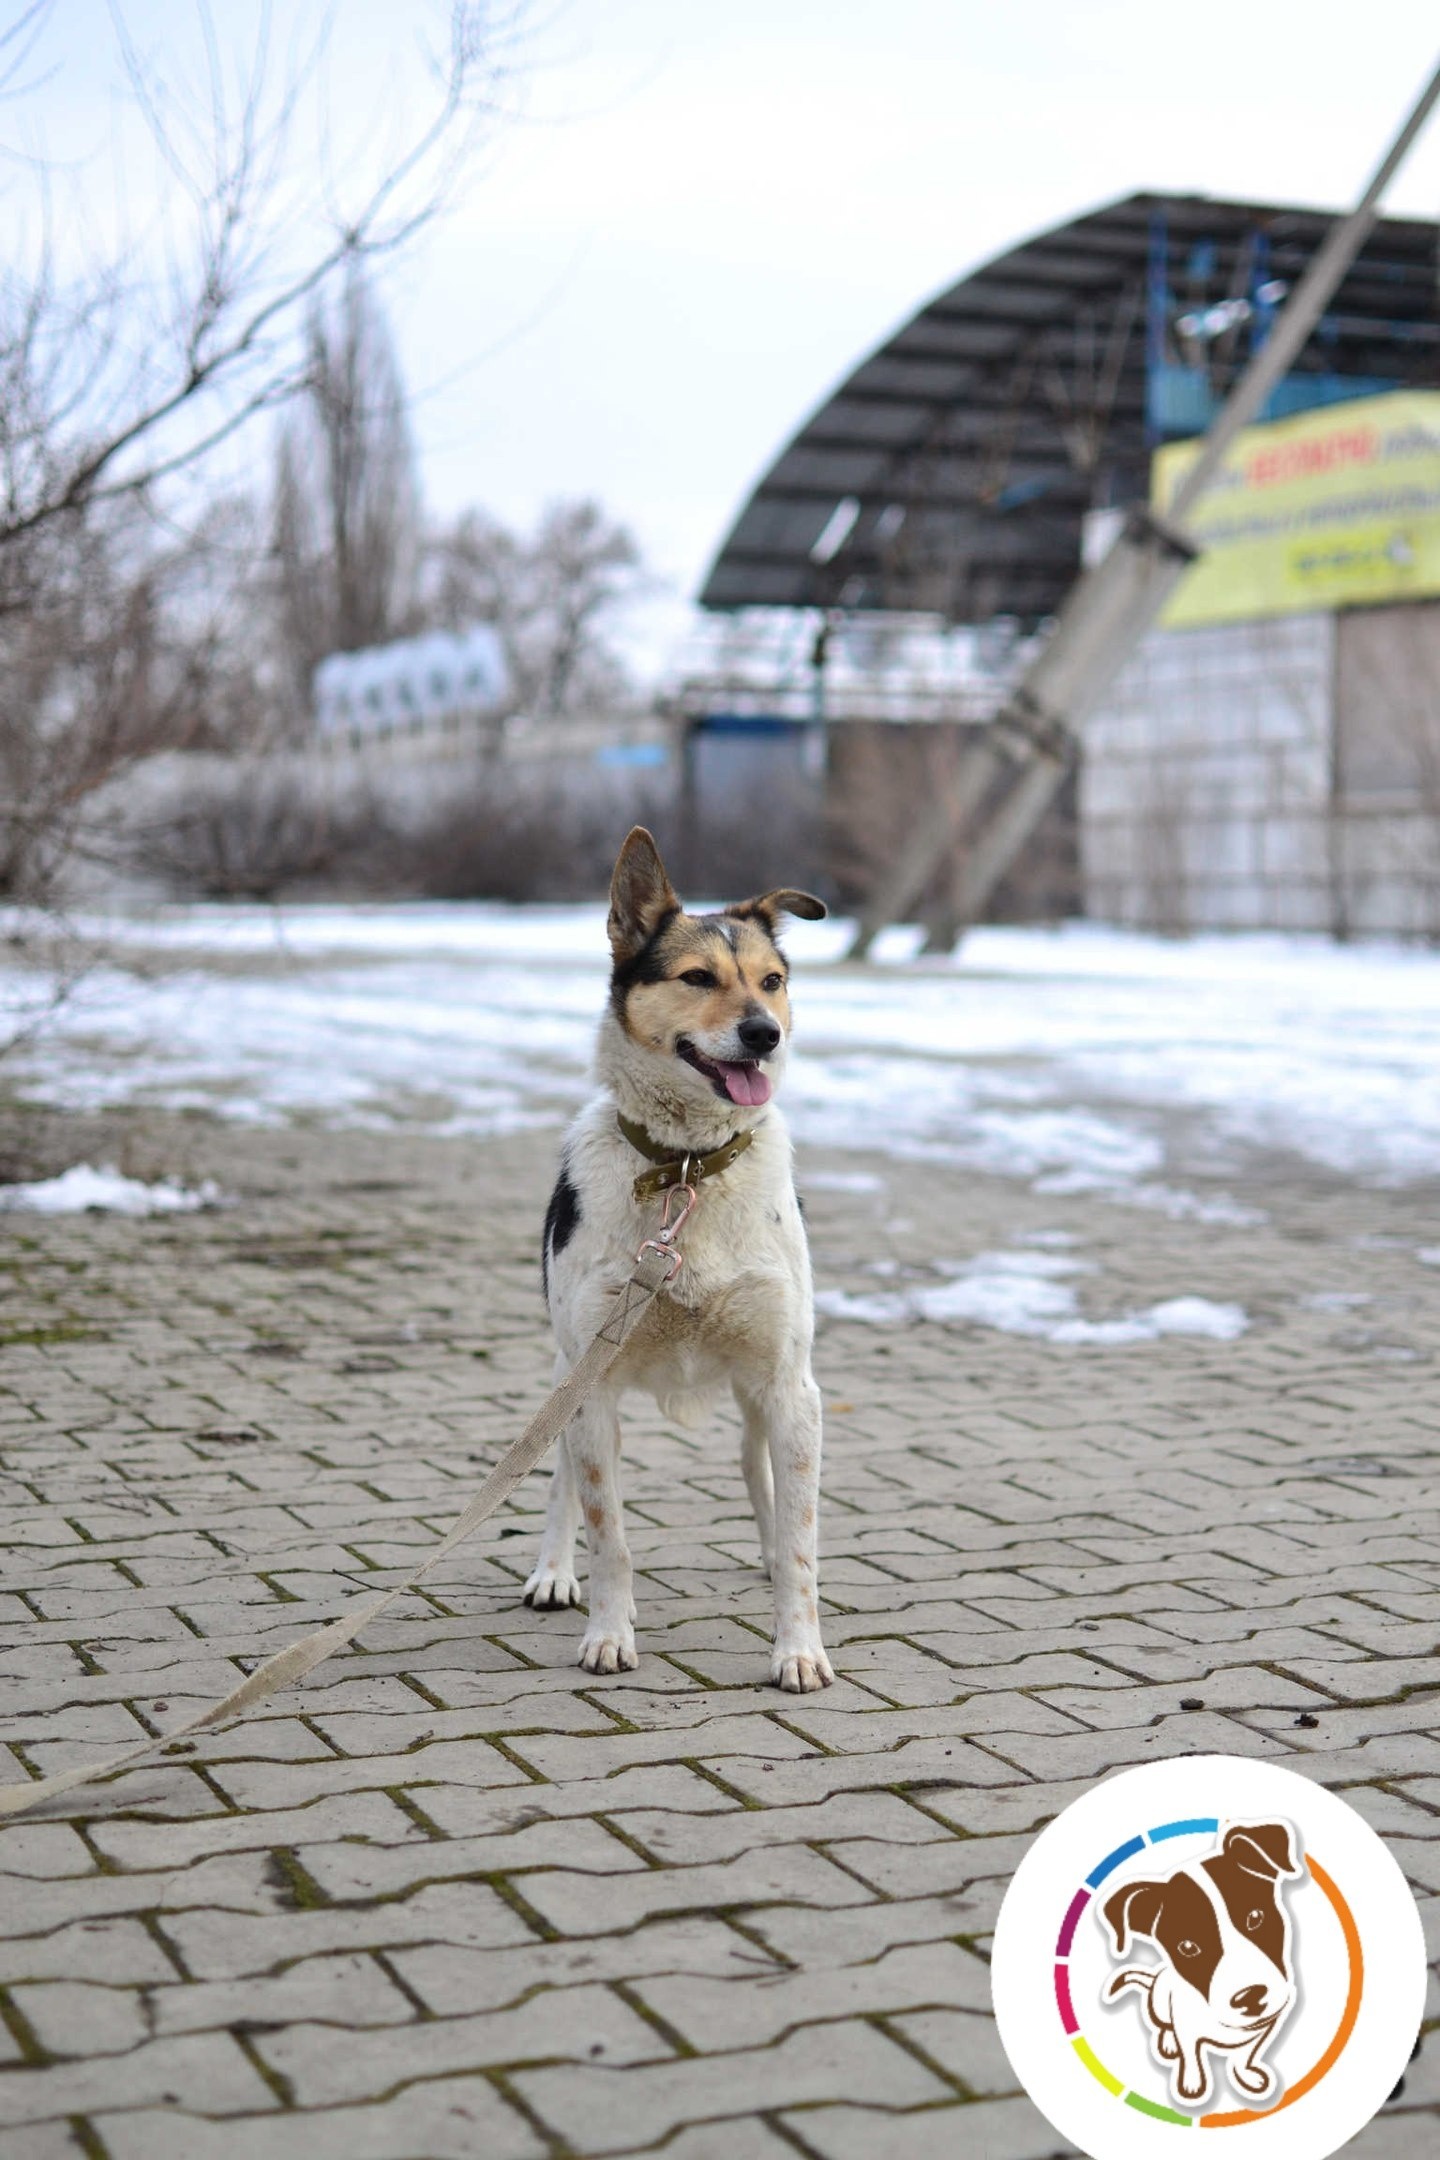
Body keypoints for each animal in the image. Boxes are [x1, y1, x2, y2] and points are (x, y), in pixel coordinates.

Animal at [520, 820, 833, 1684]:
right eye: (697, 978)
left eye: (772, 980)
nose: (764, 1034)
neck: (688, 1165)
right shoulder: (592, 1392)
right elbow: (609, 1534)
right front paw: (607, 1632)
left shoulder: (791, 1387)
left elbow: (800, 1540)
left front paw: (798, 1650)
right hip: (567, 1371)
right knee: (562, 1481)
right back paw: (552, 1572)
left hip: (758, 1391)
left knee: (756, 1471)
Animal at [1105, 1823, 1303, 2108]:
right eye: (1187, 1947)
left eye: (1255, 1916)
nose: (1250, 1997)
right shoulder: (1187, 2032)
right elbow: (1191, 2059)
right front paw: (1192, 2085)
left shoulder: (1266, 2027)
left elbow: (1245, 2056)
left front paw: (1246, 2076)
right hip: (1160, 2004)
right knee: (1165, 2027)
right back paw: (1168, 2043)